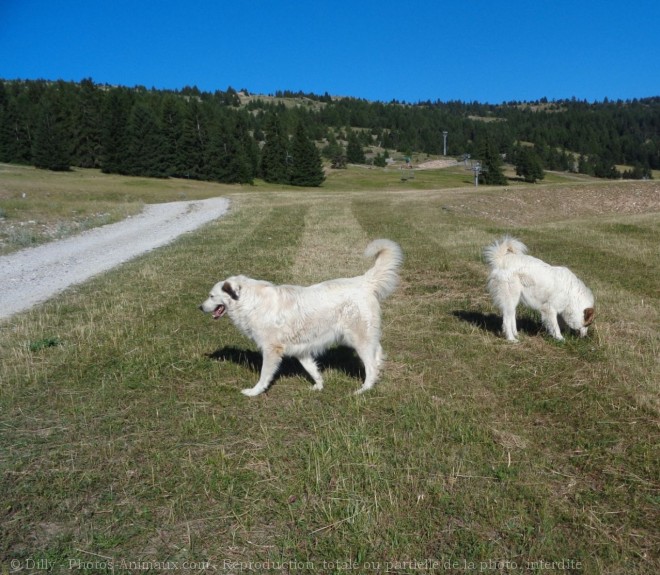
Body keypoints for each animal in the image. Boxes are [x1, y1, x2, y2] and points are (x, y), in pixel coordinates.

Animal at [199, 238, 402, 396]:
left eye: (211, 296)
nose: (199, 307)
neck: (249, 301)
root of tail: (363, 281)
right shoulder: (301, 349)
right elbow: (312, 369)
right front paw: (319, 386)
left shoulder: (271, 350)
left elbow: (264, 375)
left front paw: (254, 392)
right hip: (364, 337)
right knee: (377, 354)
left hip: (359, 339)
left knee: (371, 366)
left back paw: (364, 389)